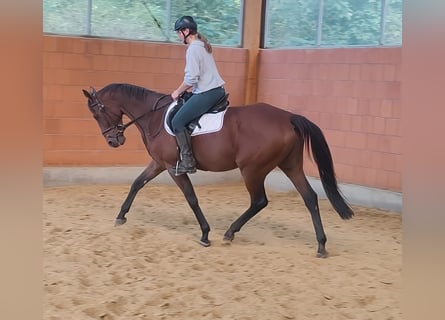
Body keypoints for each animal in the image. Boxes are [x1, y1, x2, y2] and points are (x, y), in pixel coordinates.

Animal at [82, 82, 354, 258]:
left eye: (96, 113)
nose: (113, 141)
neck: (155, 117)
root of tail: (288, 117)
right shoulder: (159, 164)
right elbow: (137, 183)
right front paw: (121, 215)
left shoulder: (172, 167)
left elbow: (191, 198)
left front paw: (205, 234)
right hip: (290, 165)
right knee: (310, 198)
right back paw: (321, 245)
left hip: (252, 170)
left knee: (259, 201)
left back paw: (230, 232)